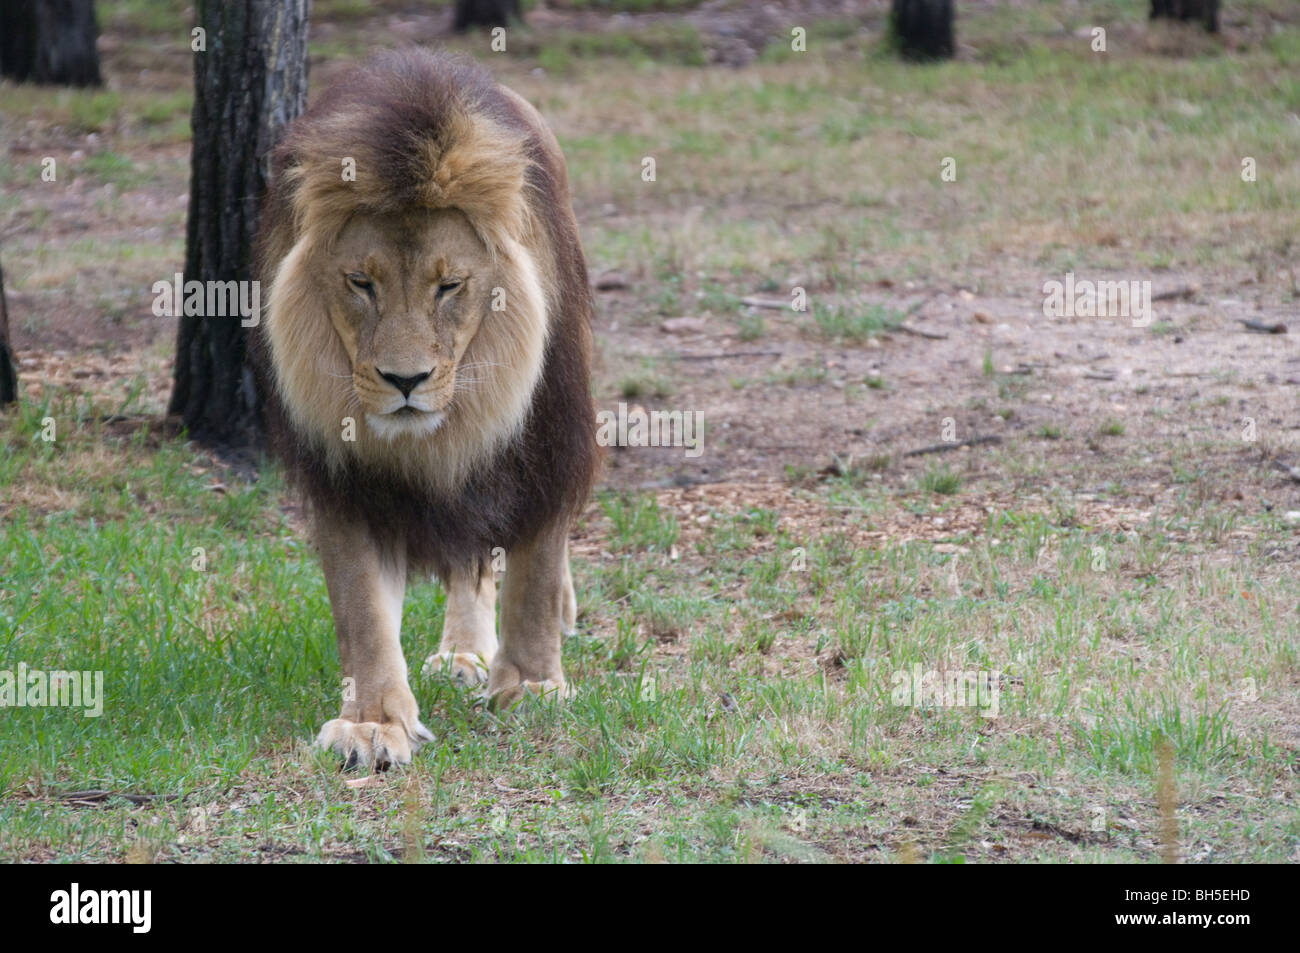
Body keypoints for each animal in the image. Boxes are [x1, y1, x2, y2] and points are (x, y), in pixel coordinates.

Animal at [250, 48, 600, 769]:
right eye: (361, 282)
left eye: (450, 285)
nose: (404, 378)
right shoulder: (344, 477)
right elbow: (361, 607)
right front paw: (372, 723)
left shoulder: (550, 442)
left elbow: (535, 568)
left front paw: (531, 688)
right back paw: (463, 652)